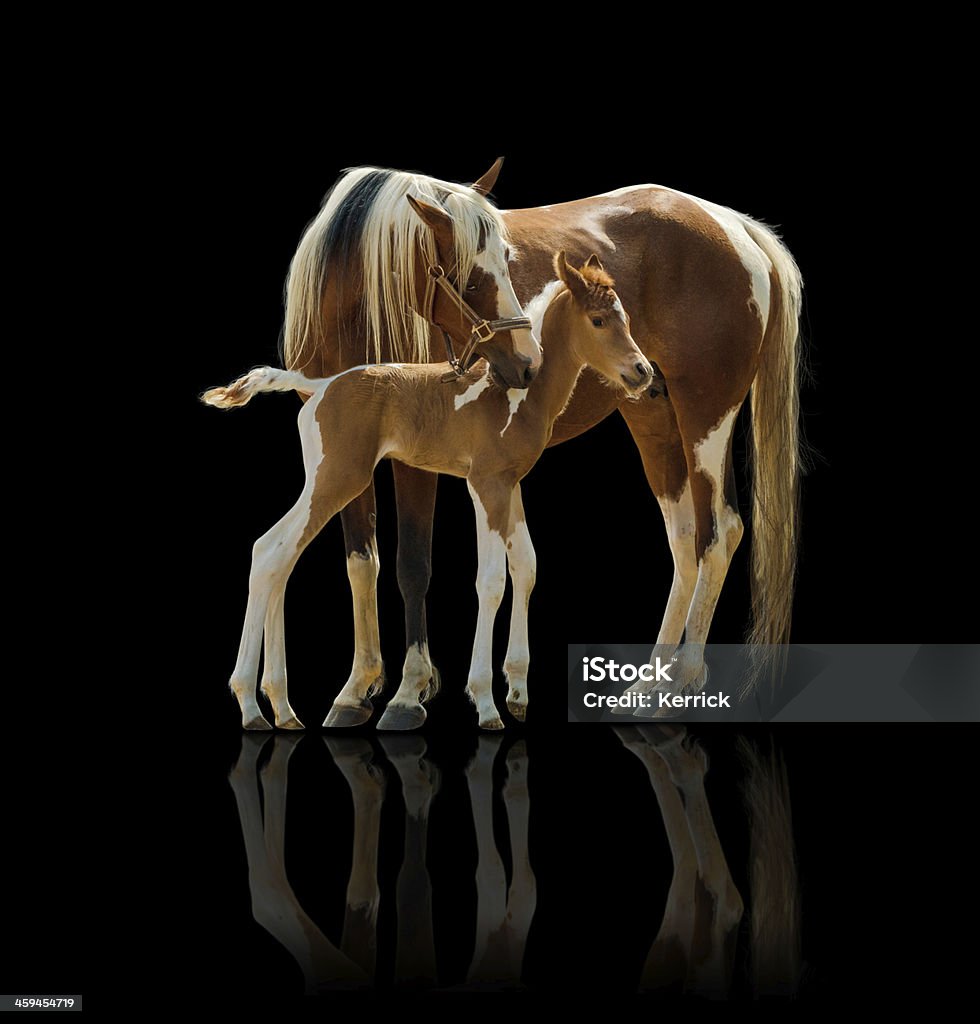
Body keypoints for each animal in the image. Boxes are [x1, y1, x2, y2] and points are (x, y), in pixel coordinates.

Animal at [203, 252, 655, 729]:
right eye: (598, 320)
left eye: (626, 318)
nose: (642, 371)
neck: (515, 394)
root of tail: (320, 386)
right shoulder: (485, 485)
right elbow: (491, 580)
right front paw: (486, 702)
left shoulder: (510, 485)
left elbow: (526, 566)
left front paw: (517, 692)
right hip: (337, 478)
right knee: (273, 552)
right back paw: (252, 706)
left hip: (326, 480)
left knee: (278, 555)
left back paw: (282, 707)